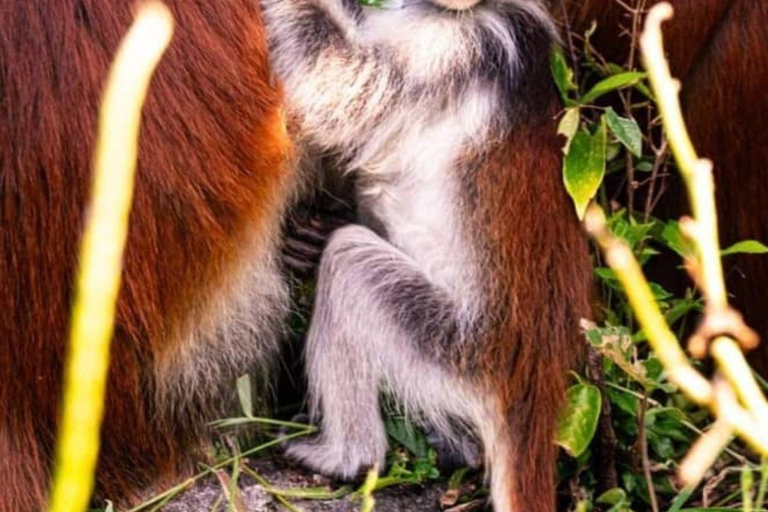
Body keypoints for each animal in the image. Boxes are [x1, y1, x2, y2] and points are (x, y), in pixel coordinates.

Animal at [261, 0, 593, 509]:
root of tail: (535, 377)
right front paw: (308, 236)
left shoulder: (466, 47)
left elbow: (351, 86)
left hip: (461, 349)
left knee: (350, 262)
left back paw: (349, 457)